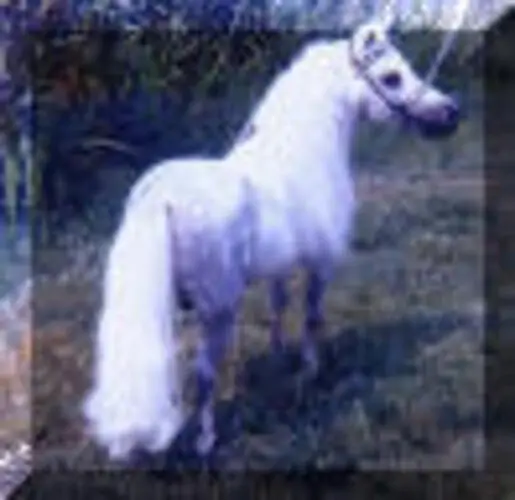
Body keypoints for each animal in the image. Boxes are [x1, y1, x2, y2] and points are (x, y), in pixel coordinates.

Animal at [82, 17, 462, 462]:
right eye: (392, 77)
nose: (451, 113)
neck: (300, 154)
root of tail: (163, 198)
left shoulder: (278, 267)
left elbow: (279, 306)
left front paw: (280, 356)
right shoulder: (320, 263)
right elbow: (312, 316)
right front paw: (311, 370)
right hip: (218, 310)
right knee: (204, 374)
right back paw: (206, 441)